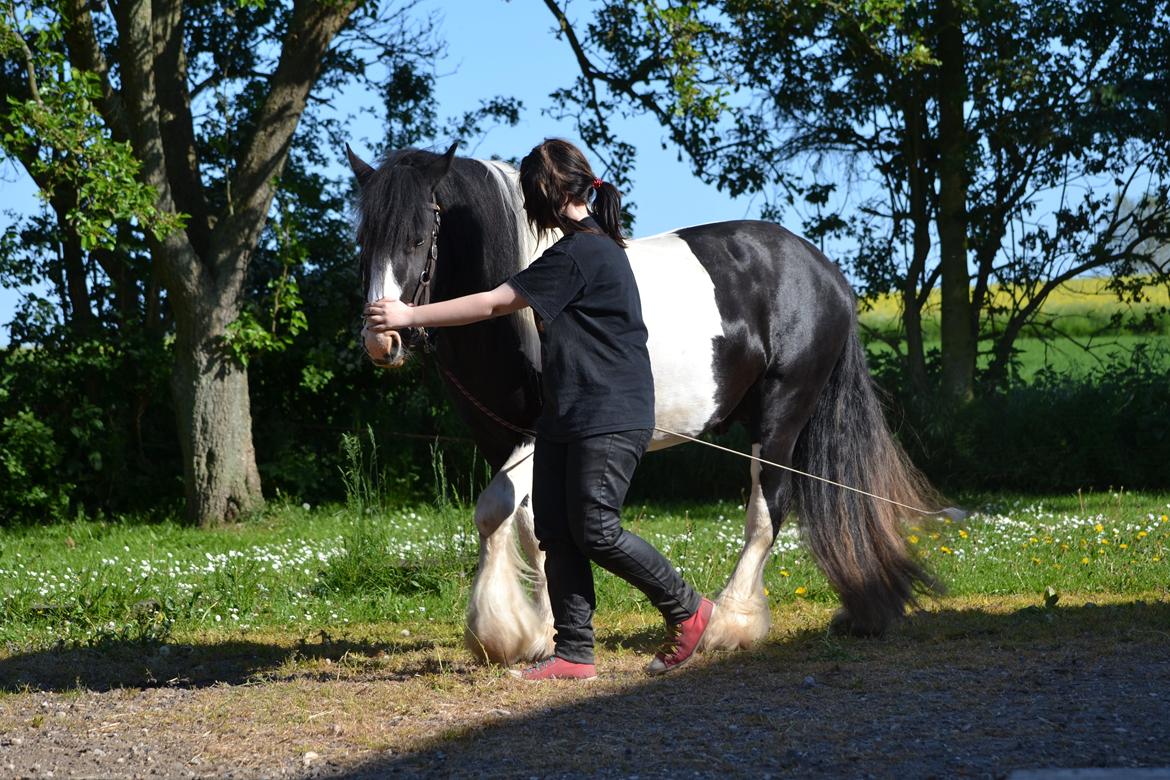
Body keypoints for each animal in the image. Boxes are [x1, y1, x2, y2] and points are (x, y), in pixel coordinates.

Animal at [341, 142, 935, 664]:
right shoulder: (499, 433)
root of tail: (824, 272)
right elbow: (532, 525)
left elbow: (493, 511)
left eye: (419, 237)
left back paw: (729, 624)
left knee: (768, 510)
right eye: (365, 238)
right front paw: (541, 630)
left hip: (781, 415)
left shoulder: (541, 431)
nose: (381, 339)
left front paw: (499, 632)